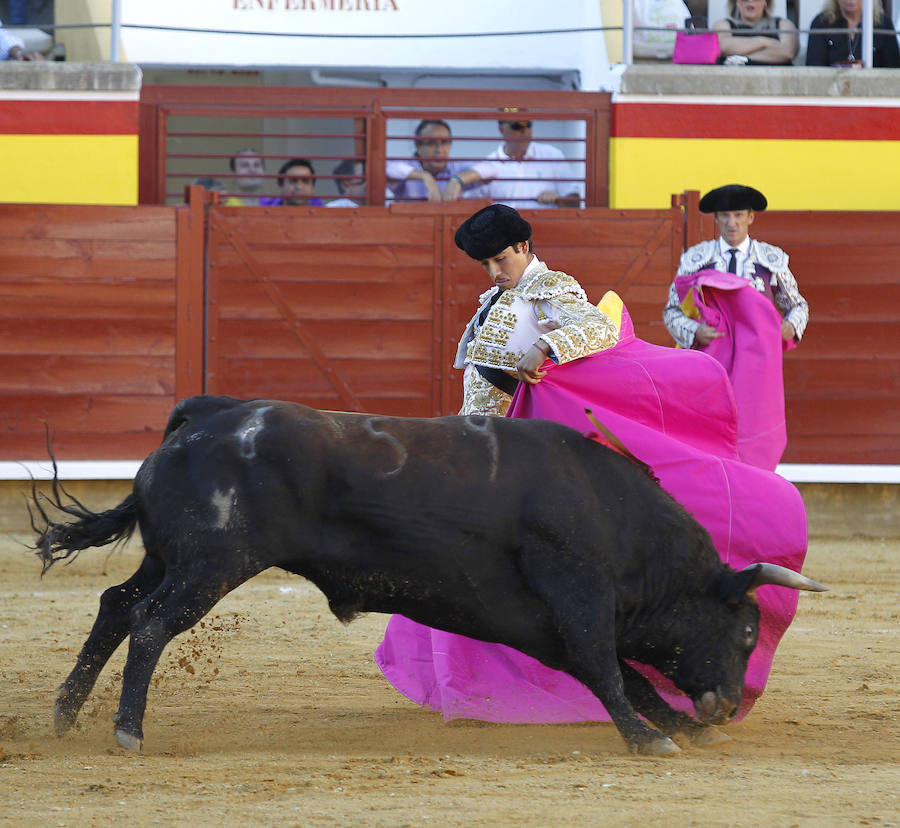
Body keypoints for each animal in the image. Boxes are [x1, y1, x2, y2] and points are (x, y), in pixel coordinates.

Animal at [31, 396, 828, 756]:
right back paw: (127, 730)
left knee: (114, 606)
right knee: (148, 624)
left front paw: (671, 727)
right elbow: (608, 667)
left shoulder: (542, 625)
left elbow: (621, 674)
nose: (726, 706)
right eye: (748, 629)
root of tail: (207, 415)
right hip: (209, 565)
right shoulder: (578, 594)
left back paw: (66, 715)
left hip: (169, 558)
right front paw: (649, 737)